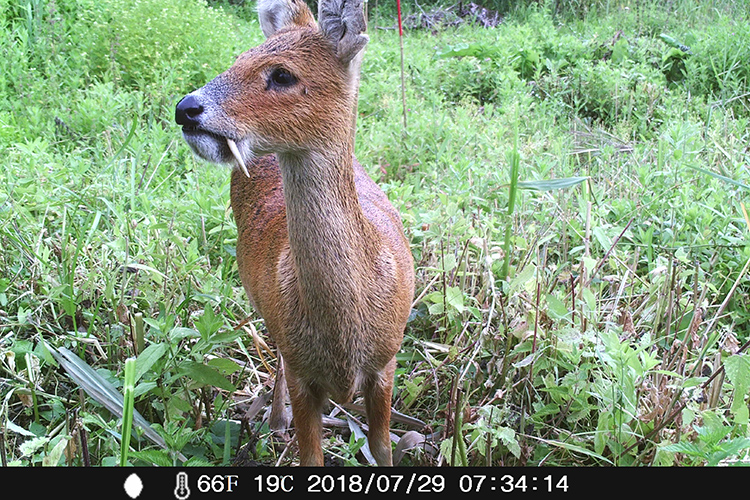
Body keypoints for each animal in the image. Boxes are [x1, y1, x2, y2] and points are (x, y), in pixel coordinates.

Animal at [174, 0, 415, 466]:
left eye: (283, 74)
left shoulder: (386, 363)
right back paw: (274, 420)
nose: (185, 108)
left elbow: (382, 449)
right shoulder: (305, 373)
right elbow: (311, 457)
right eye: (238, 59)